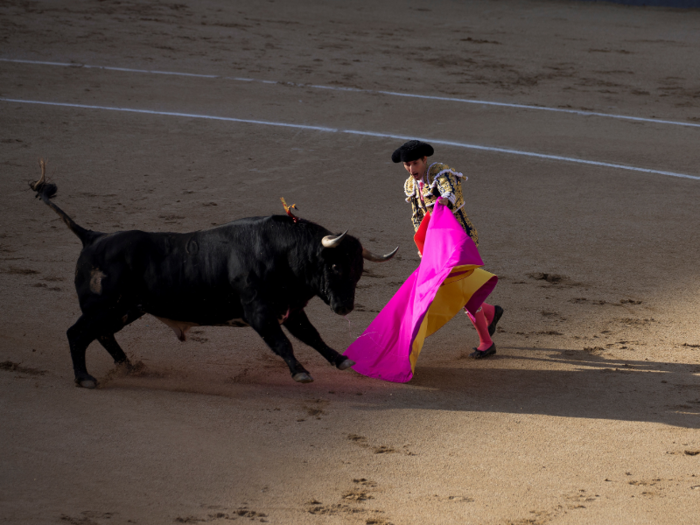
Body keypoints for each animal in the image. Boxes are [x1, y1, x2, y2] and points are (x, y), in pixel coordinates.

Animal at [30, 170, 396, 386]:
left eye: (358, 271)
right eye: (334, 267)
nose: (345, 308)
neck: (282, 254)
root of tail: (92, 237)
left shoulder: (290, 309)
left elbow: (313, 336)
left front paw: (341, 360)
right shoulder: (259, 312)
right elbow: (283, 342)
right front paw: (301, 372)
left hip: (125, 309)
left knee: (102, 334)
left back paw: (129, 367)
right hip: (103, 307)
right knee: (77, 333)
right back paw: (84, 378)